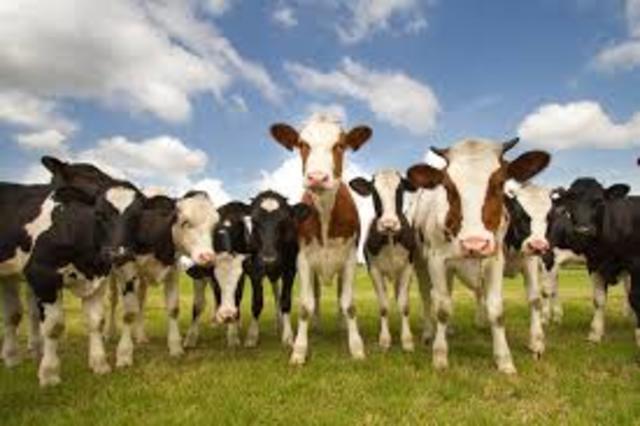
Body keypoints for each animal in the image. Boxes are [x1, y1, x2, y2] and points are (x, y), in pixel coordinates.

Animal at [113, 191, 218, 368]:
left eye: (213, 226)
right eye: (185, 222)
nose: (208, 257)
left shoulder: (172, 272)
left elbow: (173, 309)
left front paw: (175, 348)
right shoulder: (126, 270)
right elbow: (128, 313)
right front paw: (124, 355)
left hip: (142, 280)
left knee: (140, 302)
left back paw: (141, 336)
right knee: (112, 301)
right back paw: (108, 333)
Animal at [269, 115, 372, 364]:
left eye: (340, 145)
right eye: (302, 144)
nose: (317, 177)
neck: (325, 213)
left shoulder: (350, 259)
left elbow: (348, 303)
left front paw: (356, 347)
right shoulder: (304, 260)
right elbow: (305, 305)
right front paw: (299, 350)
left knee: (339, 296)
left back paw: (341, 325)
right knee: (315, 296)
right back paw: (315, 326)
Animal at [349, 170, 417, 352]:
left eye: (400, 190)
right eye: (374, 192)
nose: (389, 223)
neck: (390, 238)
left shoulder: (407, 268)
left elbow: (404, 305)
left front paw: (407, 340)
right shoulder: (374, 271)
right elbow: (384, 306)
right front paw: (385, 339)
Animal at [407, 138, 550, 373]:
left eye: (499, 183)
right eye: (448, 187)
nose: (474, 243)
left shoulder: (497, 259)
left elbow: (501, 308)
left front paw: (507, 359)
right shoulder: (436, 260)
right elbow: (442, 309)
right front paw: (439, 356)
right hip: (421, 262)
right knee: (428, 297)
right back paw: (429, 333)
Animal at [547, 178, 638, 346]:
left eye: (599, 201)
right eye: (570, 201)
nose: (583, 231)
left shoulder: (634, 264)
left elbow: (634, 296)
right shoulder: (593, 264)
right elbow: (598, 299)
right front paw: (595, 334)